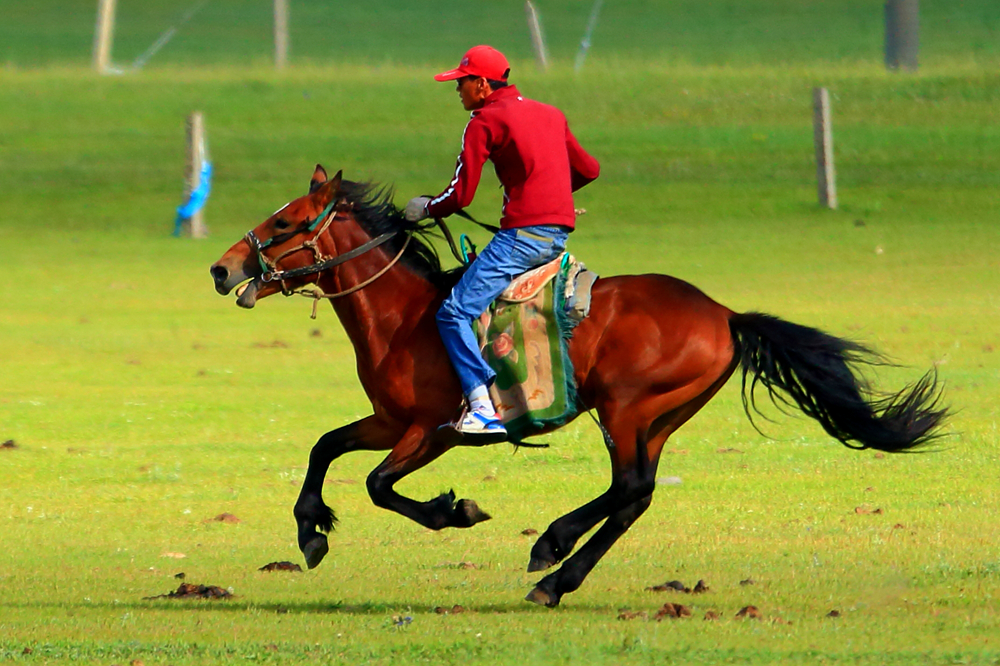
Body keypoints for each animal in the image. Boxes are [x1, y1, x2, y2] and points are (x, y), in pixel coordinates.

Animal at [209, 166, 944, 608]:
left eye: (282, 223)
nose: (221, 269)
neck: (406, 316)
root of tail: (725, 314)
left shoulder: (430, 433)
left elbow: (378, 485)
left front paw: (455, 511)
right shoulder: (388, 420)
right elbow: (324, 447)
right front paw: (311, 532)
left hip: (624, 409)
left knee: (628, 487)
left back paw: (553, 549)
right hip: (657, 419)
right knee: (635, 496)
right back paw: (560, 573)